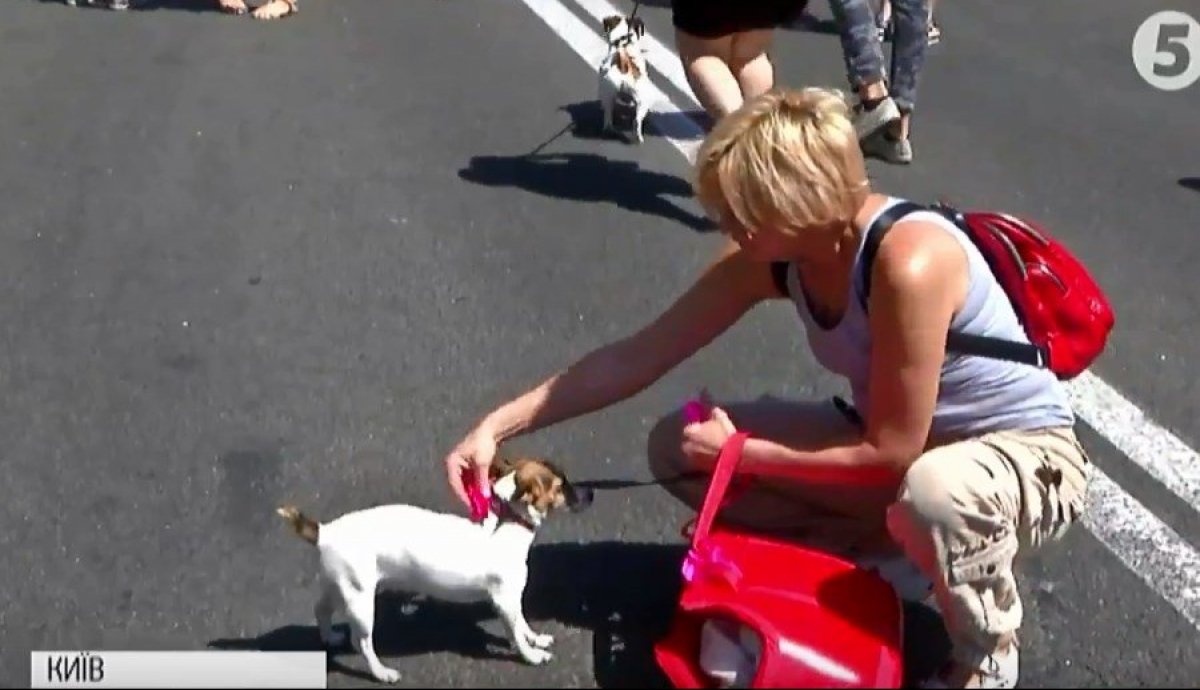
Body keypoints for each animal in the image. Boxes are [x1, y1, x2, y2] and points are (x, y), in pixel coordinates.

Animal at [276, 457, 594, 684]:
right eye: (561, 486)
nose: (591, 493)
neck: (507, 520)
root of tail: (325, 532)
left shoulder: (512, 599)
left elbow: (522, 624)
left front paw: (534, 639)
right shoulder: (504, 600)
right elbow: (515, 632)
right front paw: (531, 655)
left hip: (338, 585)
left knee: (321, 609)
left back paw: (329, 637)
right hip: (361, 602)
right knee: (362, 641)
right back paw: (381, 672)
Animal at [597, 14, 651, 143]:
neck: (623, 43)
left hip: (608, 94)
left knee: (608, 118)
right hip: (643, 101)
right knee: (636, 121)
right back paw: (638, 138)